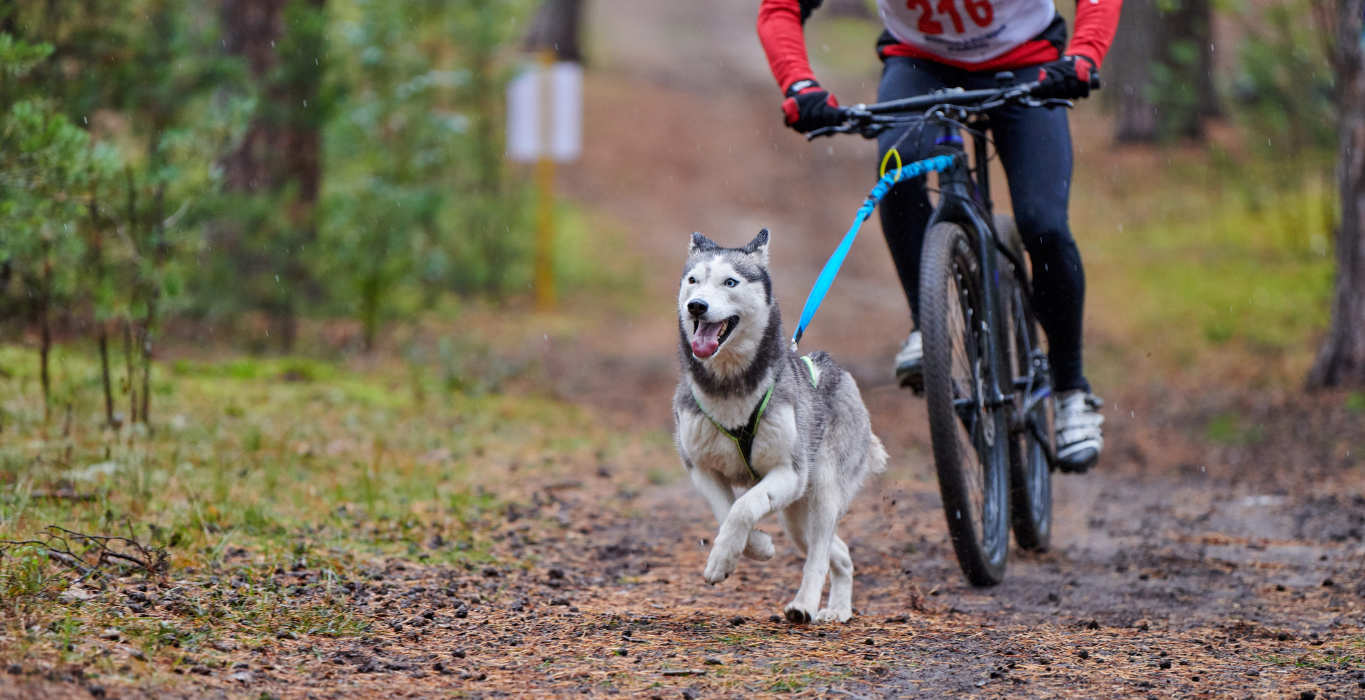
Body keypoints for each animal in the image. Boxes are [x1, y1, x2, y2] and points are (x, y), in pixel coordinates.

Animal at [671, 227, 884, 622]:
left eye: (730, 281)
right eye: (693, 281)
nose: (697, 306)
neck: (729, 388)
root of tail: (838, 369)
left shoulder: (790, 471)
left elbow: (742, 507)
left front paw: (725, 557)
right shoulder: (701, 468)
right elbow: (726, 511)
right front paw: (755, 547)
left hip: (823, 490)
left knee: (819, 553)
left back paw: (805, 605)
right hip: (795, 518)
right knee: (840, 552)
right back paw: (839, 608)